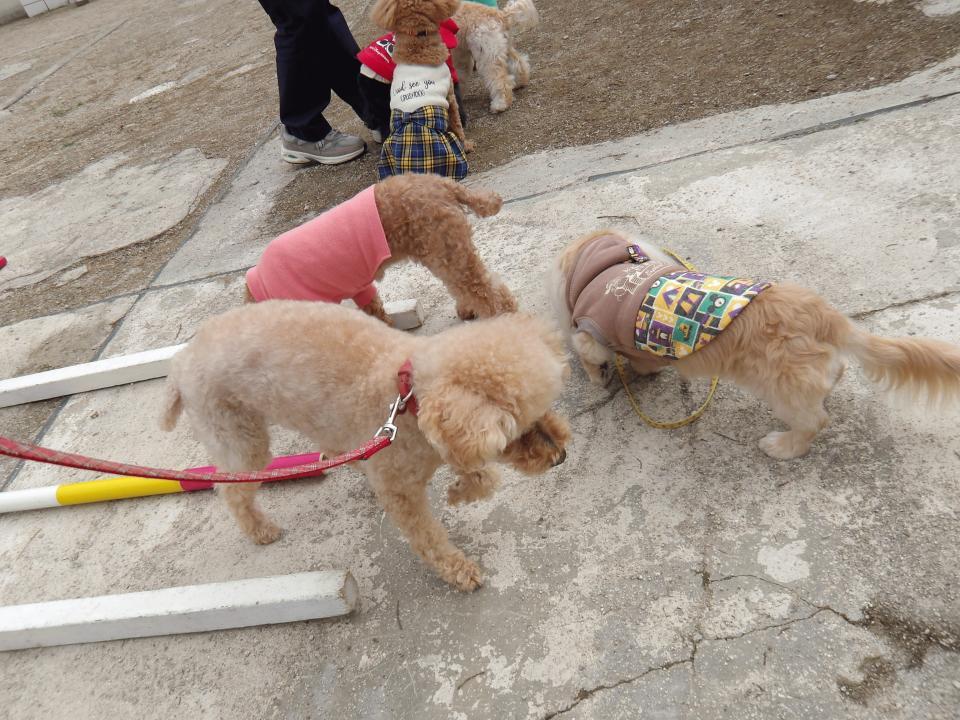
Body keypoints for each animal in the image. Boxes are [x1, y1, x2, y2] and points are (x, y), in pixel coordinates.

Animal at [160, 302, 571, 591]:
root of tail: (181, 363)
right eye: (516, 433)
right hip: (241, 440)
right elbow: (428, 536)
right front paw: (458, 569)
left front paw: (461, 489)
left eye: (545, 408)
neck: (407, 398)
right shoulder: (399, 492)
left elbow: (481, 476)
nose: (561, 457)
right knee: (230, 489)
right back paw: (260, 529)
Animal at [244, 173, 516, 323]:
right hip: (446, 251)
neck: (262, 288)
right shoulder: (361, 288)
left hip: (445, 251)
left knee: (483, 290)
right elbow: (374, 309)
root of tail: (444, 185)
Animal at [550, 230, 960, 460]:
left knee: (815, 422)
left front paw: (600, 376)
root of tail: (822, 313)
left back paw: (783, 447)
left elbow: (589, 355)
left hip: (780, 386)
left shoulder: (591, 334)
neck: (605, 267)